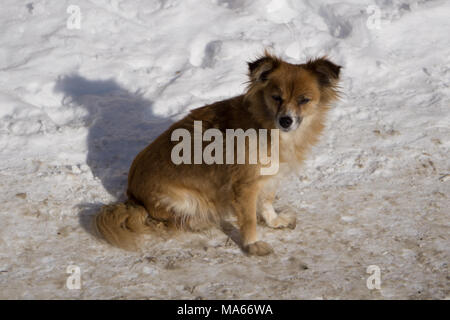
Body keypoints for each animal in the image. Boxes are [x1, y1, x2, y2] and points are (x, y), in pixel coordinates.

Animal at [96, 51, 342, 256]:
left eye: (304, 100)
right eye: (276, 97)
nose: (286, 120)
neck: (266, 125)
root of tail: (133, 196)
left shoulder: (269, 177)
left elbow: (266, 202)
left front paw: (273, 221)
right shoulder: (244, 185)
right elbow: (249, 219)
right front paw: (252, 244)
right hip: (182, 199)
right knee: (168, 221)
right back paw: (200, 221)